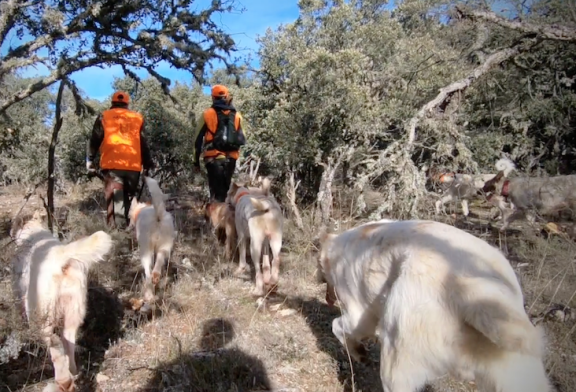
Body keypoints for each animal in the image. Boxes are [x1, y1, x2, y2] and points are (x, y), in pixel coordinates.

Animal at [11, 210, 113, 390]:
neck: (32, 228)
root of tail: (62, 257)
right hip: (73, 312)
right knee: (68, 341)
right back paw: (72, 372)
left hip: (40, 316)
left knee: (55, 343)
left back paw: (63, 379)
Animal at [316, 219, 552, 392]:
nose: (327, 297)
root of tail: (467, 287)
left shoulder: (358, 315)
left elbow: (338, 327)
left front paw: (358, 353)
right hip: (516, 372)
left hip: (396, 362)